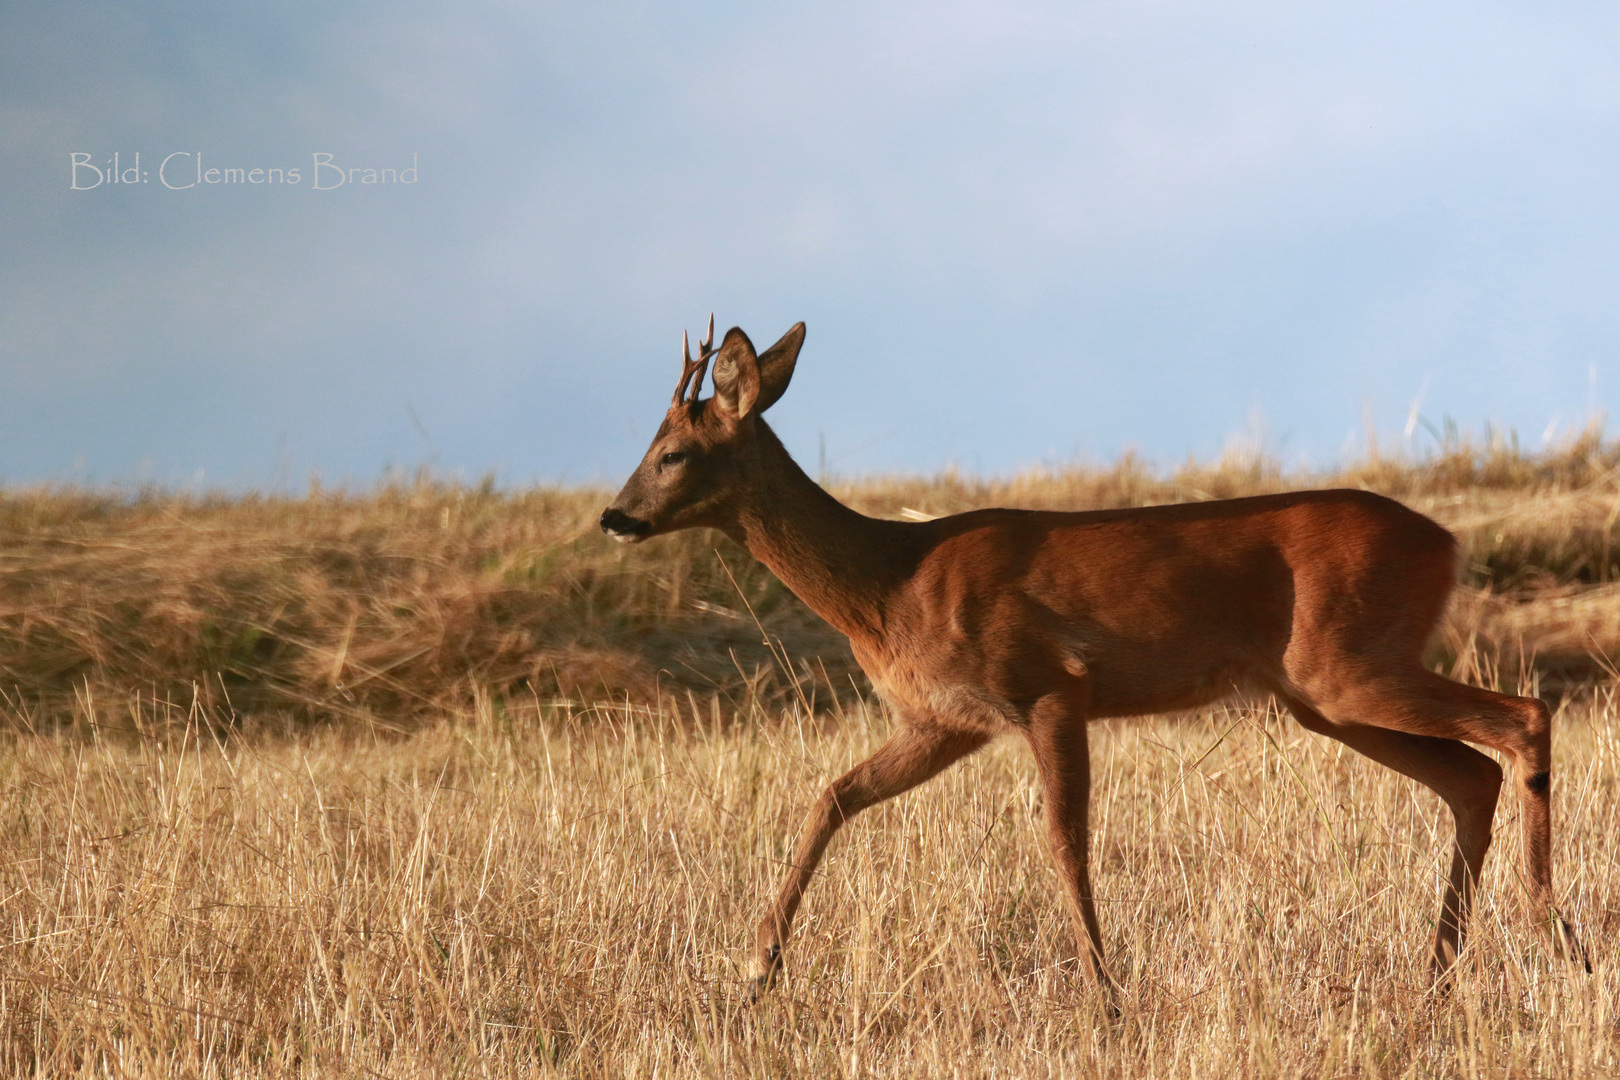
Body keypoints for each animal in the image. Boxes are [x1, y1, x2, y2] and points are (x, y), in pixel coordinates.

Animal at [596, 317, 1581, 1003]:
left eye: (673, 452)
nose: (613, 516)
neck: (890, 583)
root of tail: (1448, 542)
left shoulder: (1049, 686)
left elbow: (1065, 840)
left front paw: (1105, 992)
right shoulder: (948, 720)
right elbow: (833, 794)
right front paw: (757, 965)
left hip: (1349, 663)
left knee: (1525, 717)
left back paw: (1553, 935)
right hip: (1323, 694)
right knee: (1470, 775)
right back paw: (1438, 970)